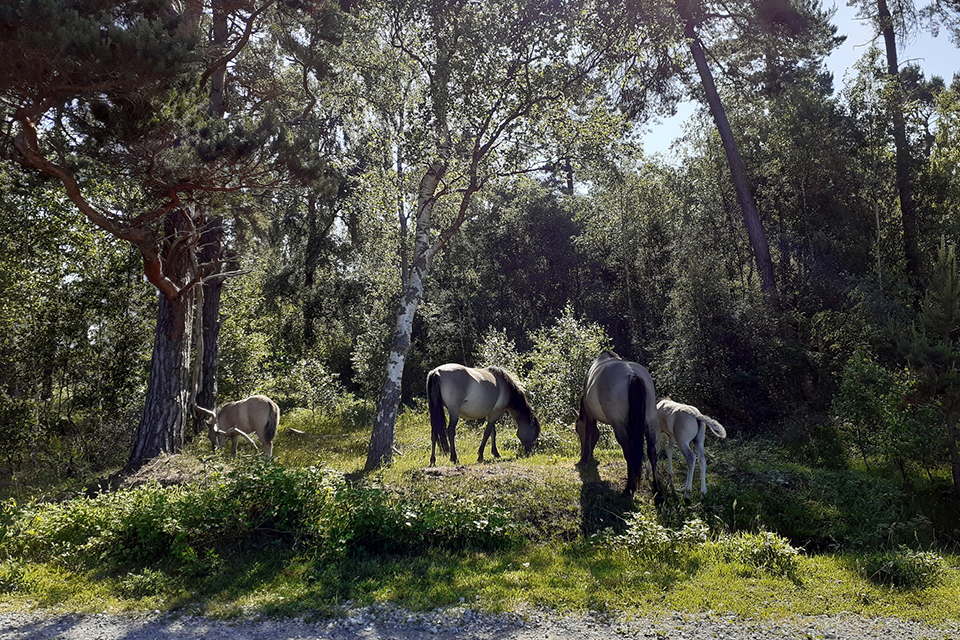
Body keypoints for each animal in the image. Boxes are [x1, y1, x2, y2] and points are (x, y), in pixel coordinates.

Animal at [572, 352, 664, 502]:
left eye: (577, 430)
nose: (583, 452)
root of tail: (633, 375)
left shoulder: (590, 415)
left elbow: (590, 431)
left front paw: (585, 458)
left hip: (619, 427)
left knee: (629, 453)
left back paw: (629, 489)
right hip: (650, 424)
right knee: (652, 452)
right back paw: (658, 491)